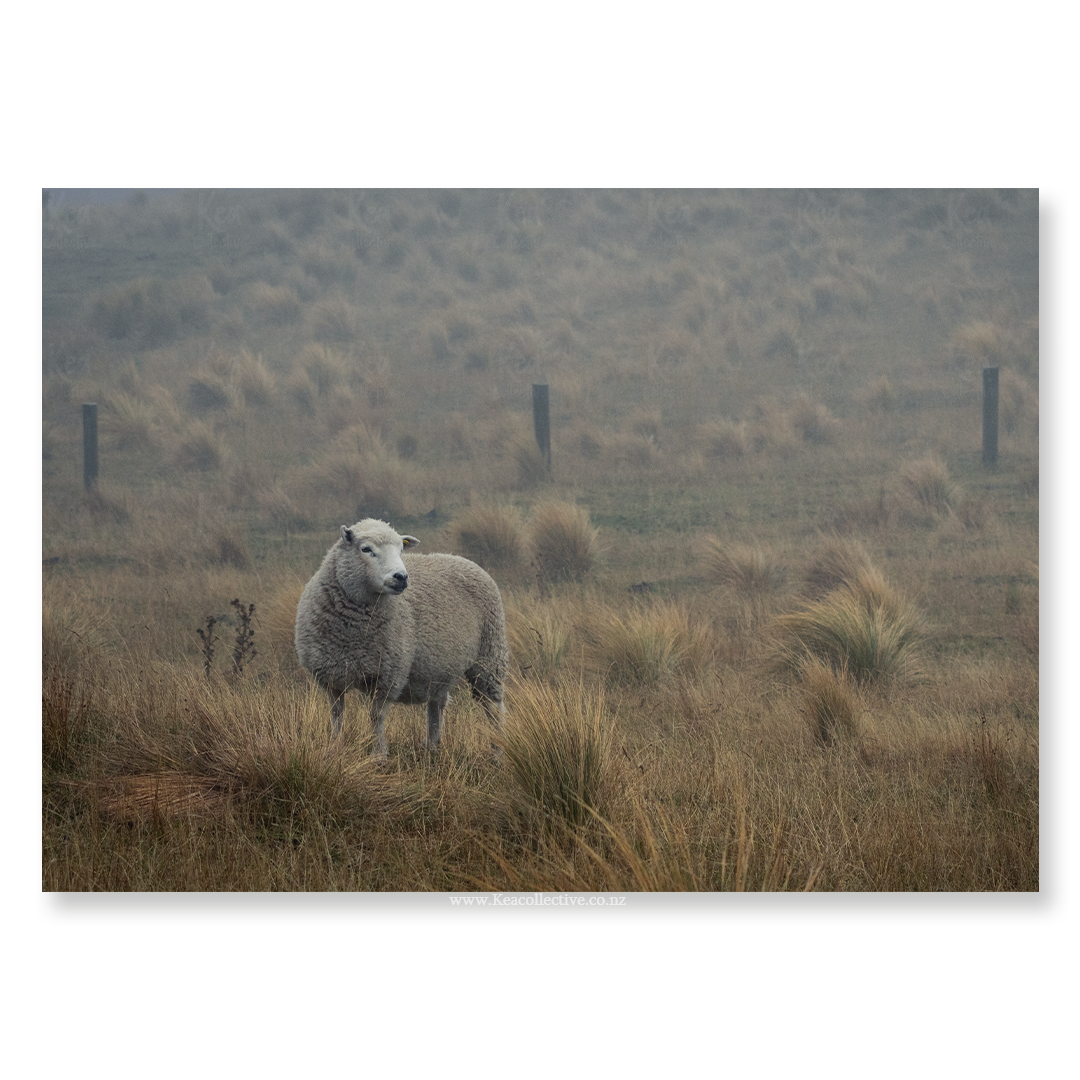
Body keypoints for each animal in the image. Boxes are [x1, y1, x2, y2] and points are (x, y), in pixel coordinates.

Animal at [294, 519, 509, 759]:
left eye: (401, 550)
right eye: (366, 549)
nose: (401, 577)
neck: (353, 633)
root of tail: (459, 558)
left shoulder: (387, 674)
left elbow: (375, 715)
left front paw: (378, 754)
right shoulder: (330, 675)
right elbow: (336, 713)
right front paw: (335, 747)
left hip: (489, 653)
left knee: (492, 705)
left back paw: (497, 750)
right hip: (440, 666)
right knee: (438, 703)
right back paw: (432, 746)